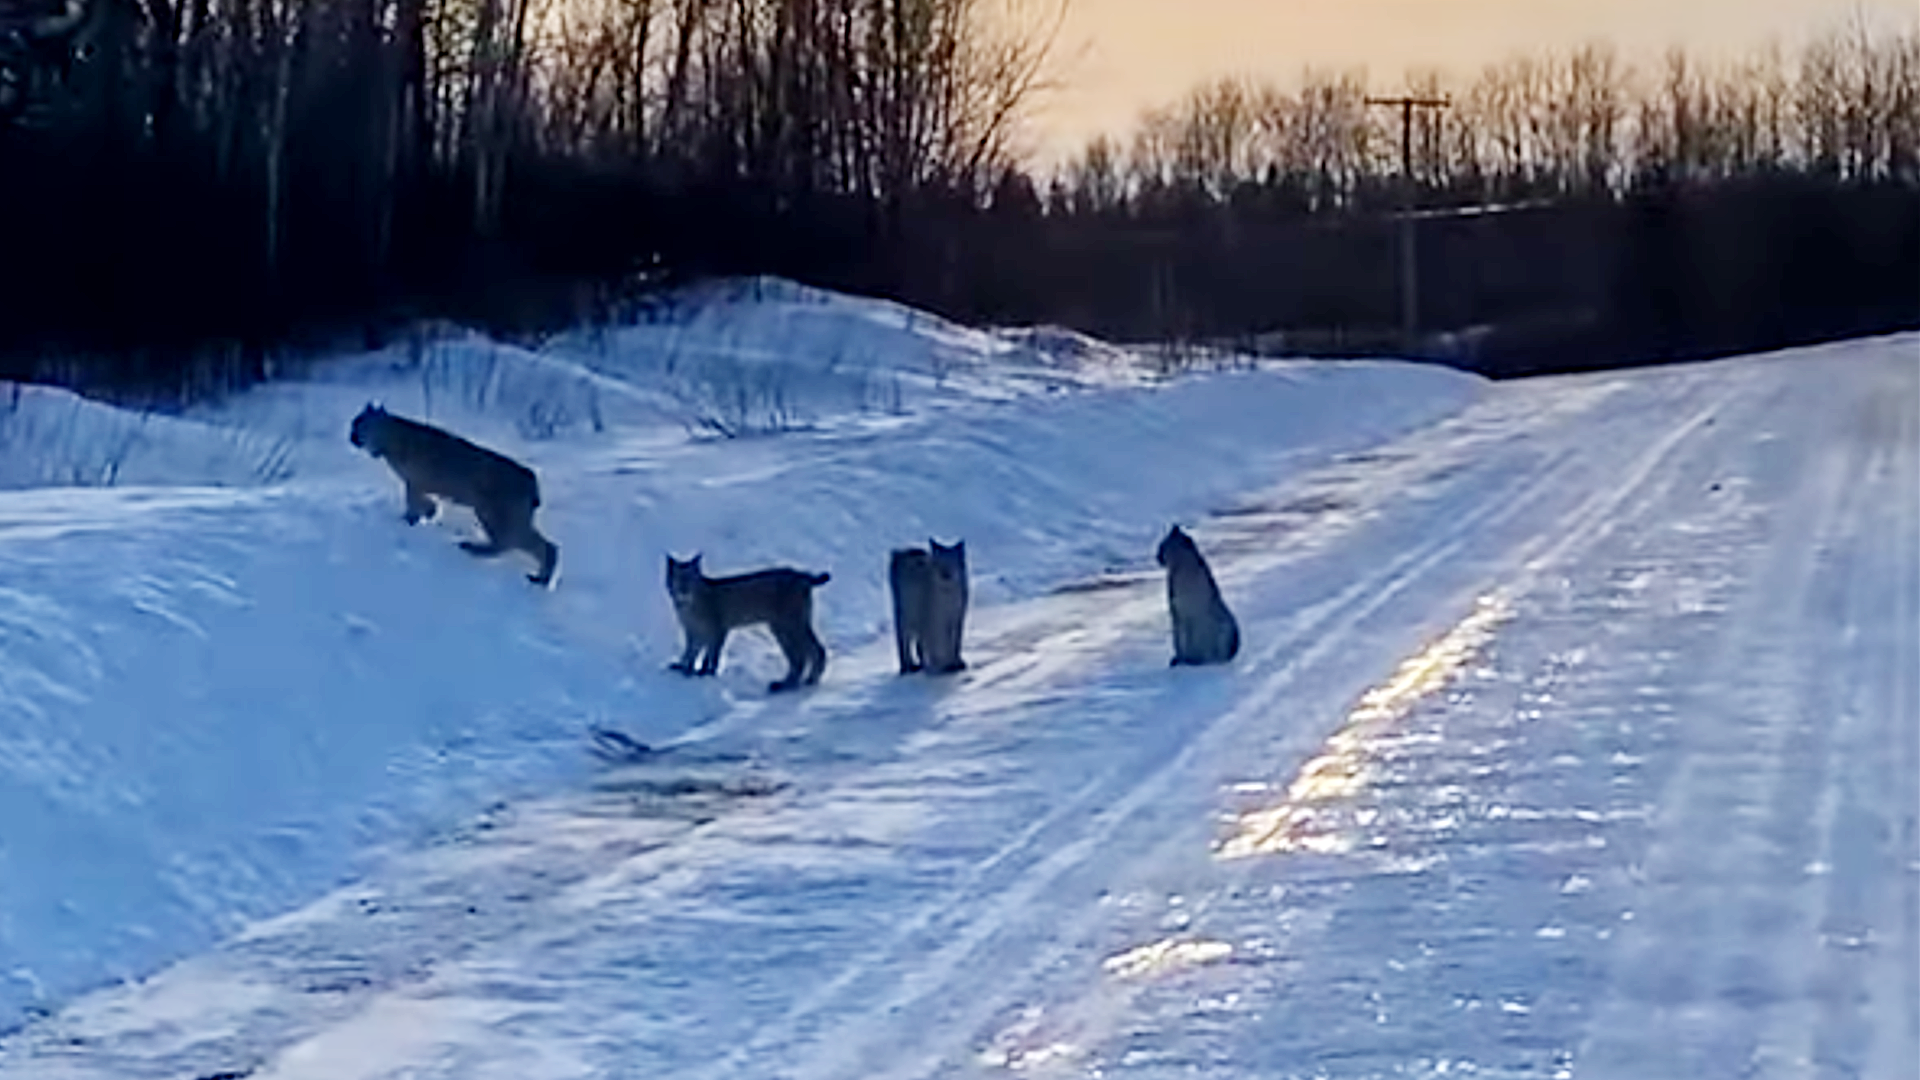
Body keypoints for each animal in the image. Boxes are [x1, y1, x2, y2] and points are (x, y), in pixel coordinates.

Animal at [349, 401, 560, 584]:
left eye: (357, 423)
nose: (350, 436)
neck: (390, 436)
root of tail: (531, 477)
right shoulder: (421, 485)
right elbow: (426, 502)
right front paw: (430, 514)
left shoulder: (413, 482)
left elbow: (411, 502)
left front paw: (409, 519)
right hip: (501, 515)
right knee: (533, 544)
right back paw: (541, 578)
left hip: (496, 513)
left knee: (524, 544)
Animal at [664, 549, 829, 691]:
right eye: (678, 578)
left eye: (691, 579)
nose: (684, 589)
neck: (687, 604)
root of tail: (801, 574)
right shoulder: (693, 632)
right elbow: (691, 651)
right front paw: (685, 668)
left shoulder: (718, 630)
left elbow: (711, 654)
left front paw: (706, 673)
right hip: (784, 624)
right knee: (809, 651)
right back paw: (804, 681)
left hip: (789, 623)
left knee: (804, 654)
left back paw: (790, 684)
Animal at [887, 538, 967, 672]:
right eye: (939, 563)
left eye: (951, 562)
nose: (945, 574)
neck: (948, 594)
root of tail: (902, 551)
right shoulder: (934, 618)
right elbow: (939, 641)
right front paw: (944, 664)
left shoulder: (957, 618)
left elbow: (955, 642)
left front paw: (955, 662)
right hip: (905, 613)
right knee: (903, 638)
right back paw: (907, 667)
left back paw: (922, 664)